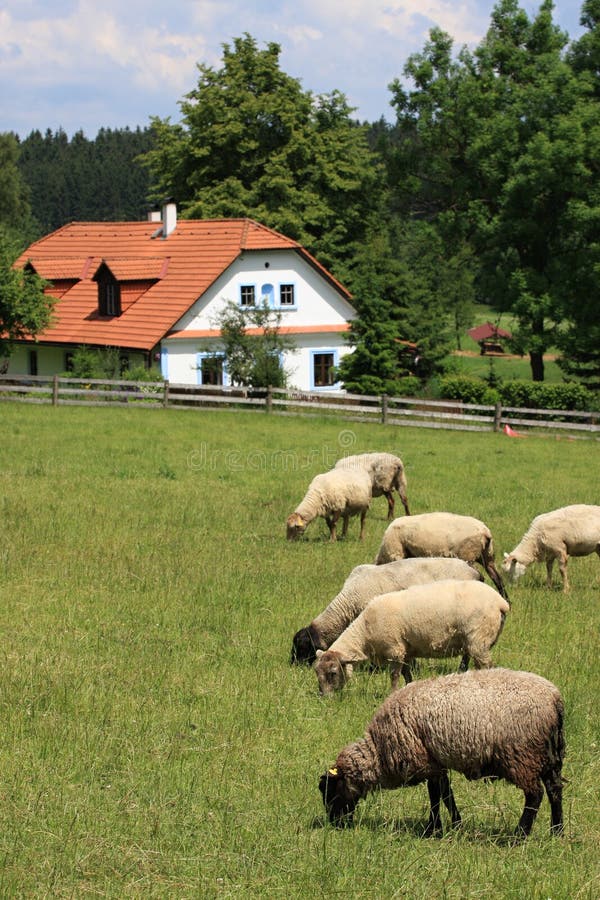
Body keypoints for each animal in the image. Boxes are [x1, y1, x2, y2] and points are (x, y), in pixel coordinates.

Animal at [312, 576, 508, 696]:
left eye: (333, 672)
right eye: (316, 671)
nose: (324, 697)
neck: (364, 633)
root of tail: (500, 602)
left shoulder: (395, 649)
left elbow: (394, 676)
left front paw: (392, 694)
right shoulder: (405, 651)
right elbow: (407, 675)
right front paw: (408, 689)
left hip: (479, 640)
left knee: (489, 666)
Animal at [322, 664, 564, 840]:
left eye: (330, 792)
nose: (335, 824)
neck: (380, 751)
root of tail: (554, 699)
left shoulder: (426, 763)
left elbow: (435, 796)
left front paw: (433, 829)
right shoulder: (435, 762)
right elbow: (446, 794)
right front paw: (455, 824)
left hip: (522, 754)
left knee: (535, 795)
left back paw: (519, 835)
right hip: (549, 755)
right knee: (554, 790)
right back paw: (557, 832)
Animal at [376, 512, 506, 596]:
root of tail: (485, 532)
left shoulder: (396, 553)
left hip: (468, 555)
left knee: (481, 577)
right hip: (487, 555)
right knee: (497, 578)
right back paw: (506, 601)